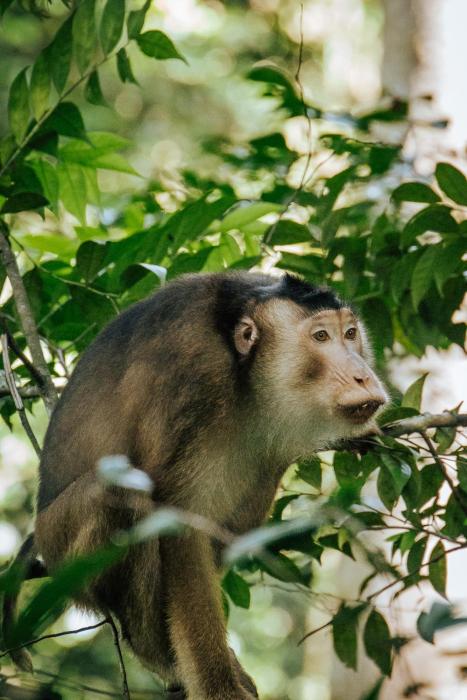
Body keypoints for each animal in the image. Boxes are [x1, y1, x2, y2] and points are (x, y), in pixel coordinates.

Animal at [2, 271, 387, 699]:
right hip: (62, 545)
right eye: (321, 337)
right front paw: (220, 687)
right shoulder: (196, 372)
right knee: (118, 493)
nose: (362, 374)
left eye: (350, 333)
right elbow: (179, 522)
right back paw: (156, 654)